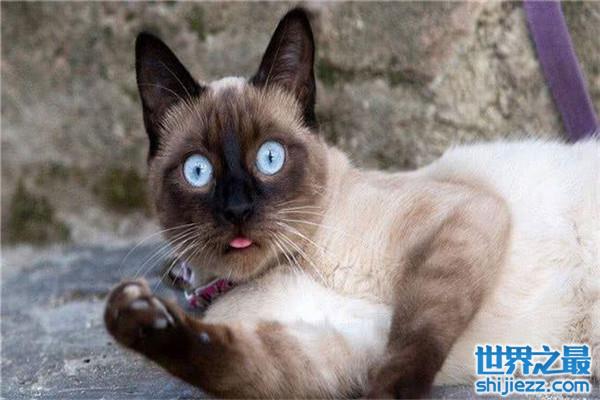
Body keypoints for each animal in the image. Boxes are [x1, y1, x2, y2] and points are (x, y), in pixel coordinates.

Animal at [105, 8, 600, 398]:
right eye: (198, 171)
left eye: (270, 157)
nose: (238, 211)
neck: (299, 259)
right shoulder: (340, 346)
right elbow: (225, 364)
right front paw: (137, 319)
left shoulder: (464, 218)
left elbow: (416, 334)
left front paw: (388, 394)